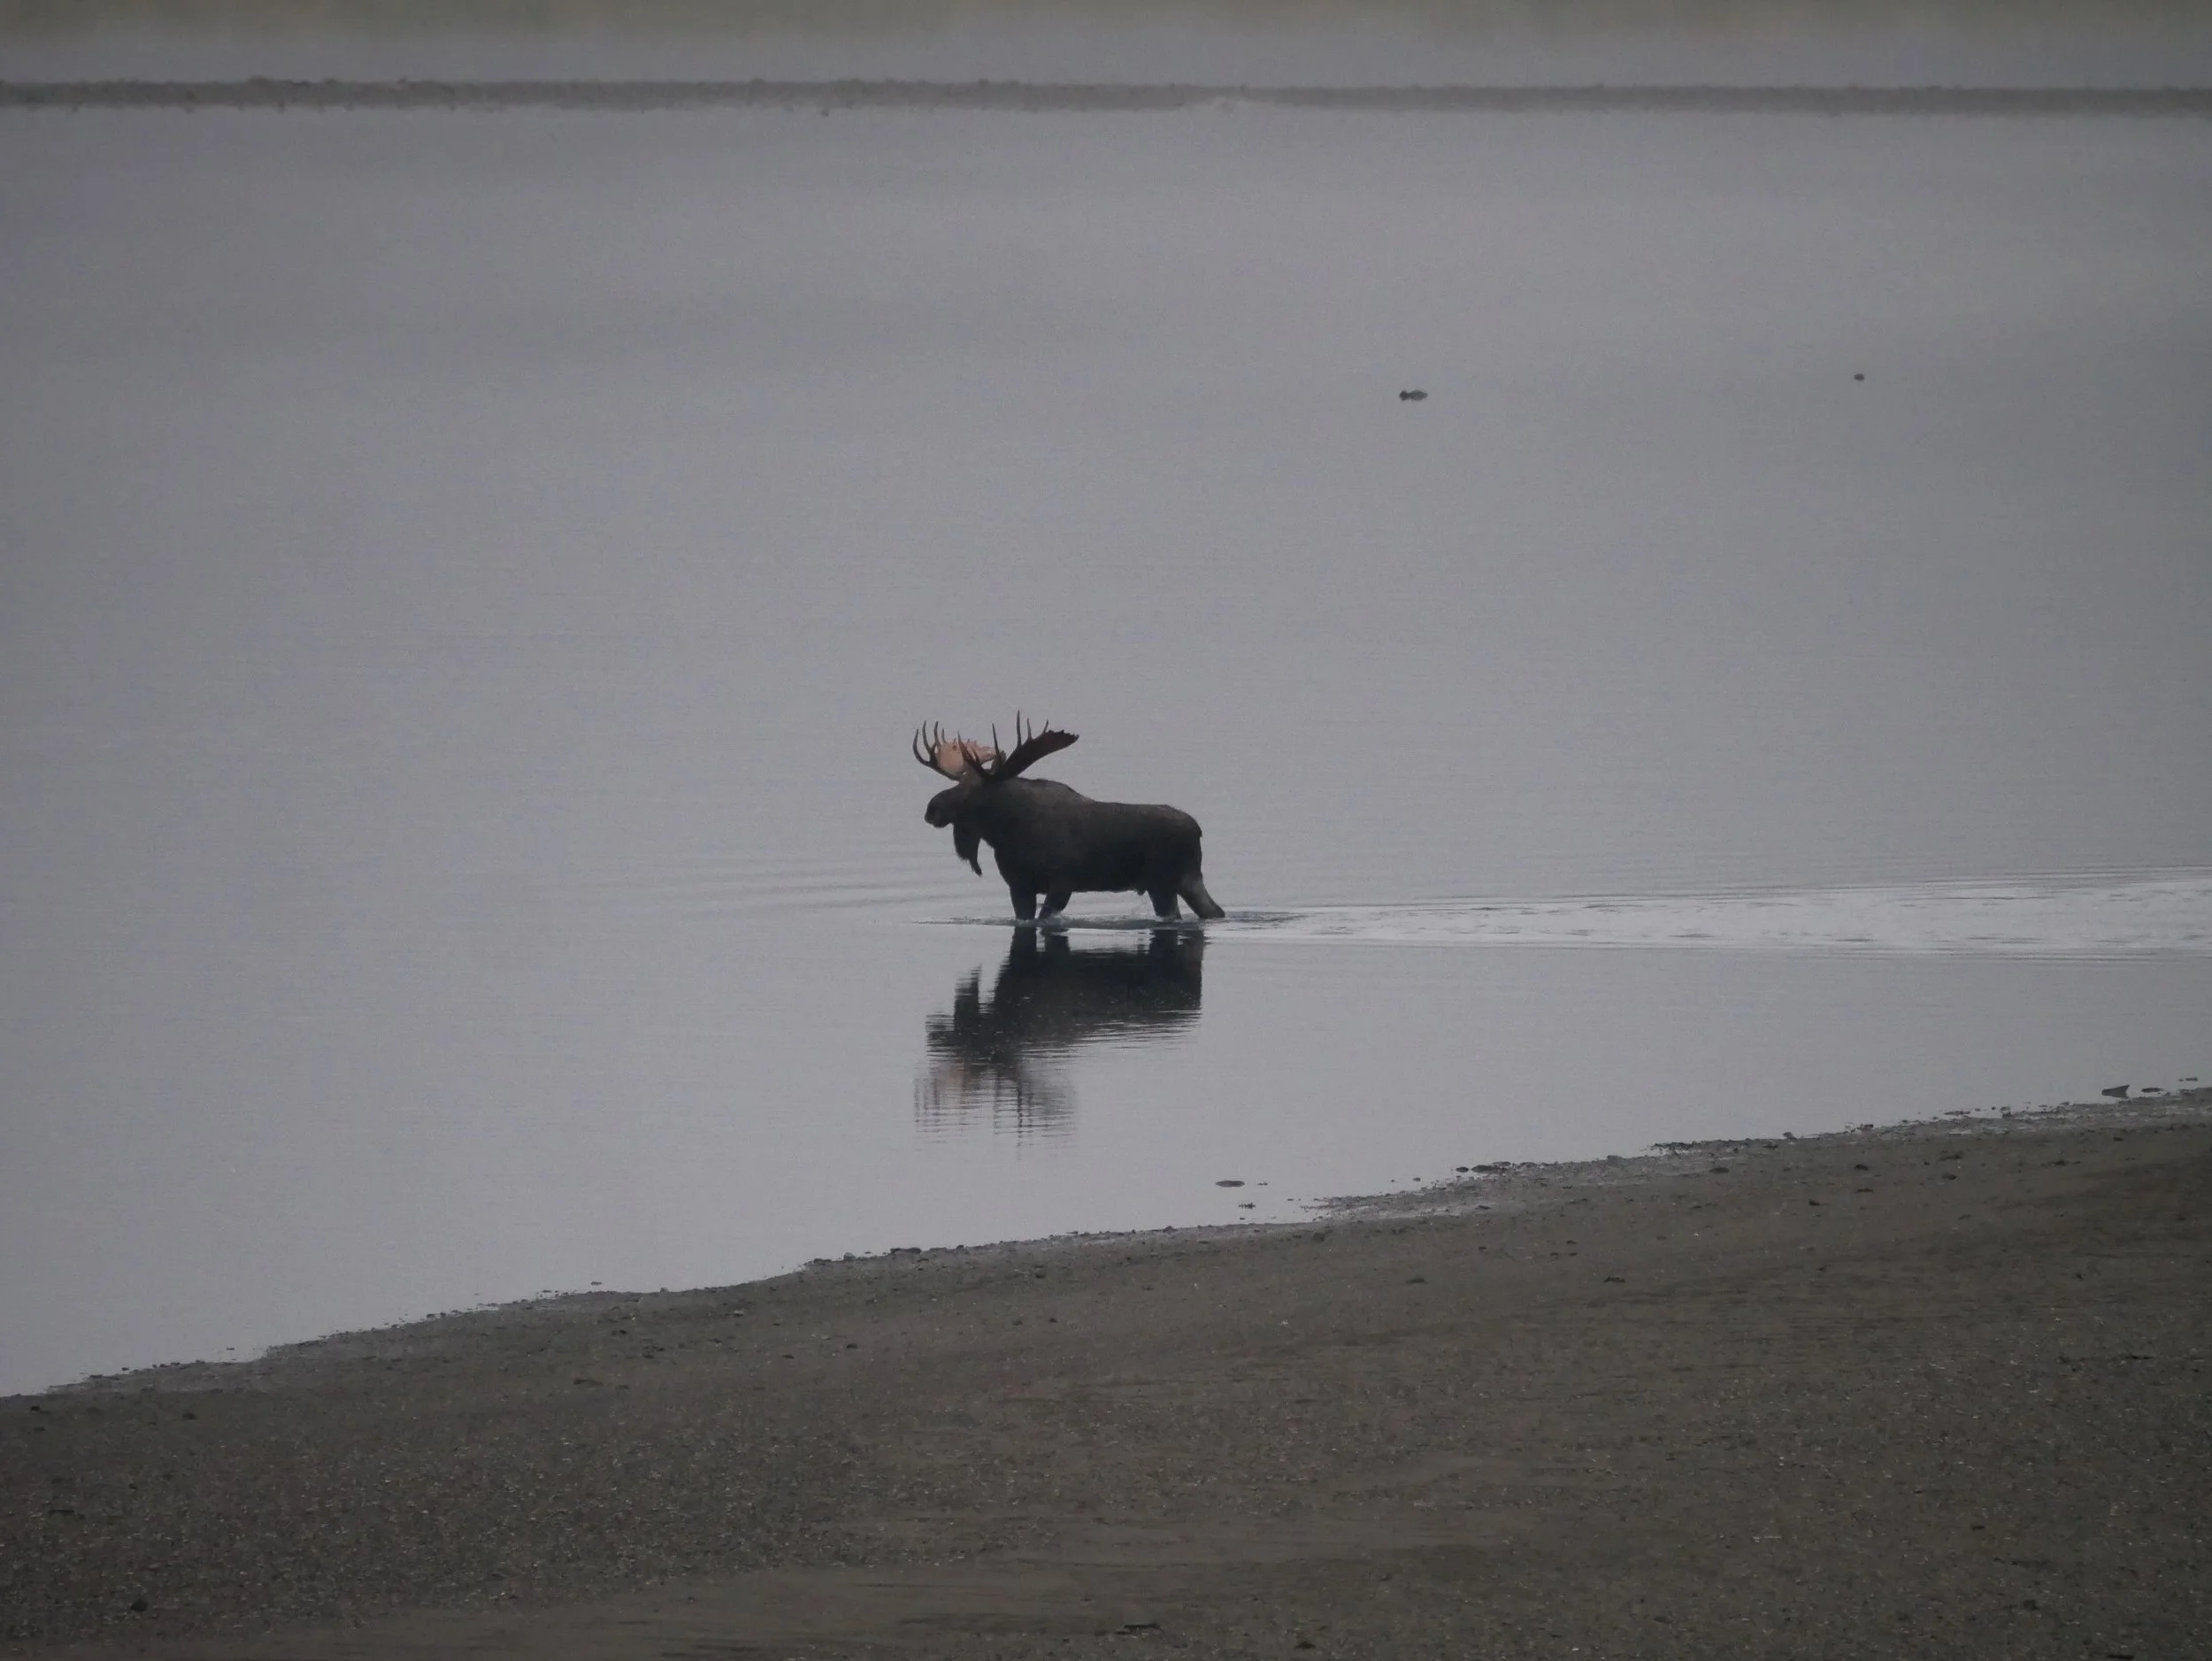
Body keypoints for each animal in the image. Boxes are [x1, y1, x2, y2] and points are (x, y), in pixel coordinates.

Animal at [912, 716, 1225, 922]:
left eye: (974, 791)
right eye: (958, 782)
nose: (932, 808)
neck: (1008, 835)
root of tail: (1197, 830)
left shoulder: (1063, 880)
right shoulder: (1019, 885)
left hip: (1163, 881)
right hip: (1185, 879)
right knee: (1214, 911)